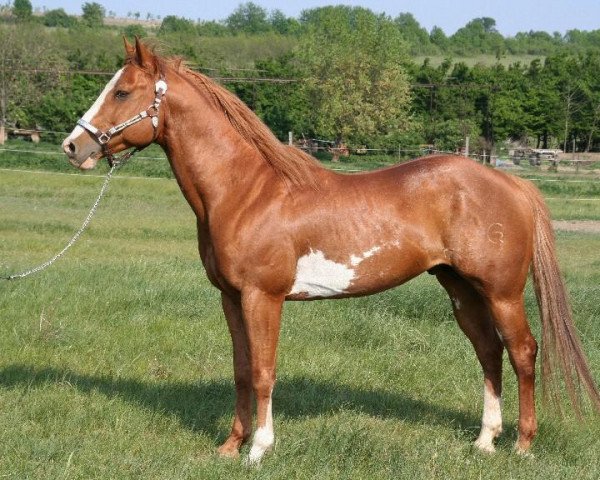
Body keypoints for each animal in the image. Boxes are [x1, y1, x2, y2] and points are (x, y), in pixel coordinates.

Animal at [62, 40, 600, 462]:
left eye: (122, 91)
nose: (73, 147)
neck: (247, 191)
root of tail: (511, 183)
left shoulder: (263, 297)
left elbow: (263, 371)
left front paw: (259, 448)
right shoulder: (231, 298)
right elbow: (240, 371)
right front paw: (230, 446)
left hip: (502, 291)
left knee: (522, 351)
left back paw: (522, 445)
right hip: (460, 288)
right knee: (489, 351)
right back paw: (484, 441)